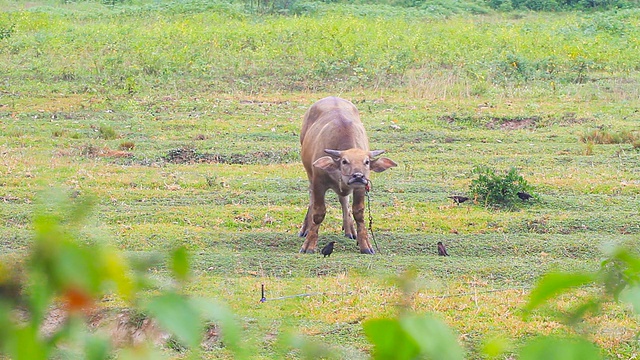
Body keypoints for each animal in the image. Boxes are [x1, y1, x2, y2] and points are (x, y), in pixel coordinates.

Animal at [298, 95, 398, 253]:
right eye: (344, 161)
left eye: (367, 162)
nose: (358, 176)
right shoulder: (318, 182)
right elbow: (318, 213)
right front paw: (309, 244)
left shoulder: (361, 188)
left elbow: (359, 213)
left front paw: (365, 245)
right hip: (310, 175)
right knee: (311, 197)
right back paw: (305, 228)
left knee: (343, 200)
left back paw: (350, 229)